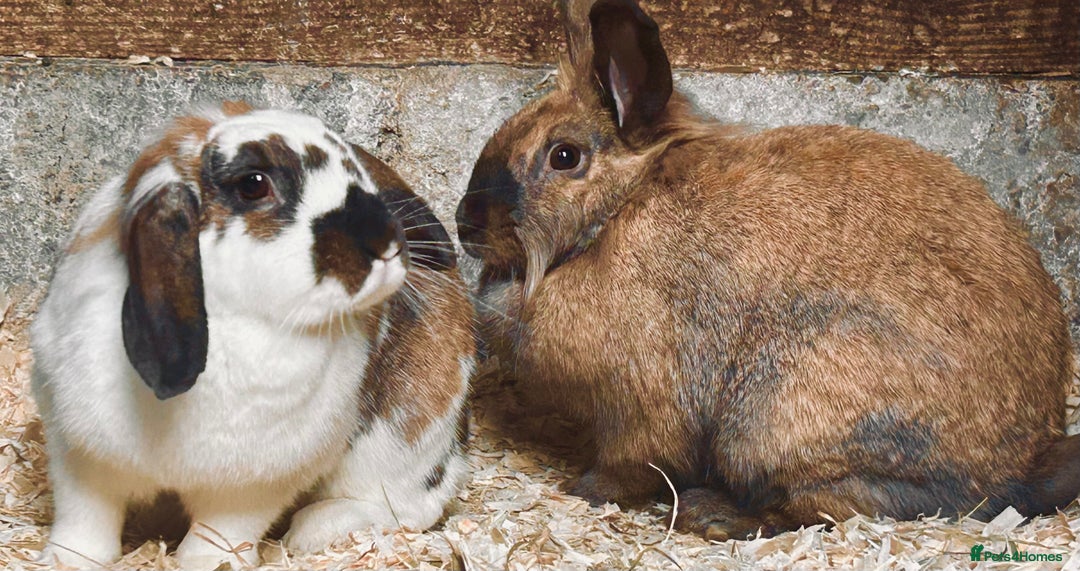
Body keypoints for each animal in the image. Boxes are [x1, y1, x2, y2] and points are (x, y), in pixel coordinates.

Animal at [30, 102, 475, 569]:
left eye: (354, 169)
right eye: (253, 184)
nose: (387, 243)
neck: (234, 322)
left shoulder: (251, 489)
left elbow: (218, 539)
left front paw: (206, 563)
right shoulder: (78, 456)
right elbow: (85, 524)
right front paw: (63, 560)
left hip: (402, 441)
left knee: (407, 504)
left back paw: (314, 529)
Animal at [455, 0, 1080, 541]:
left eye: (564, 156)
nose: (466, 223)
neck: (616, 210)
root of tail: (1016, 469)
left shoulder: (643, 408)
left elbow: (634, 463)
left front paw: (582, 490)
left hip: (774, 425)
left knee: (825, 508)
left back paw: (712, 515)